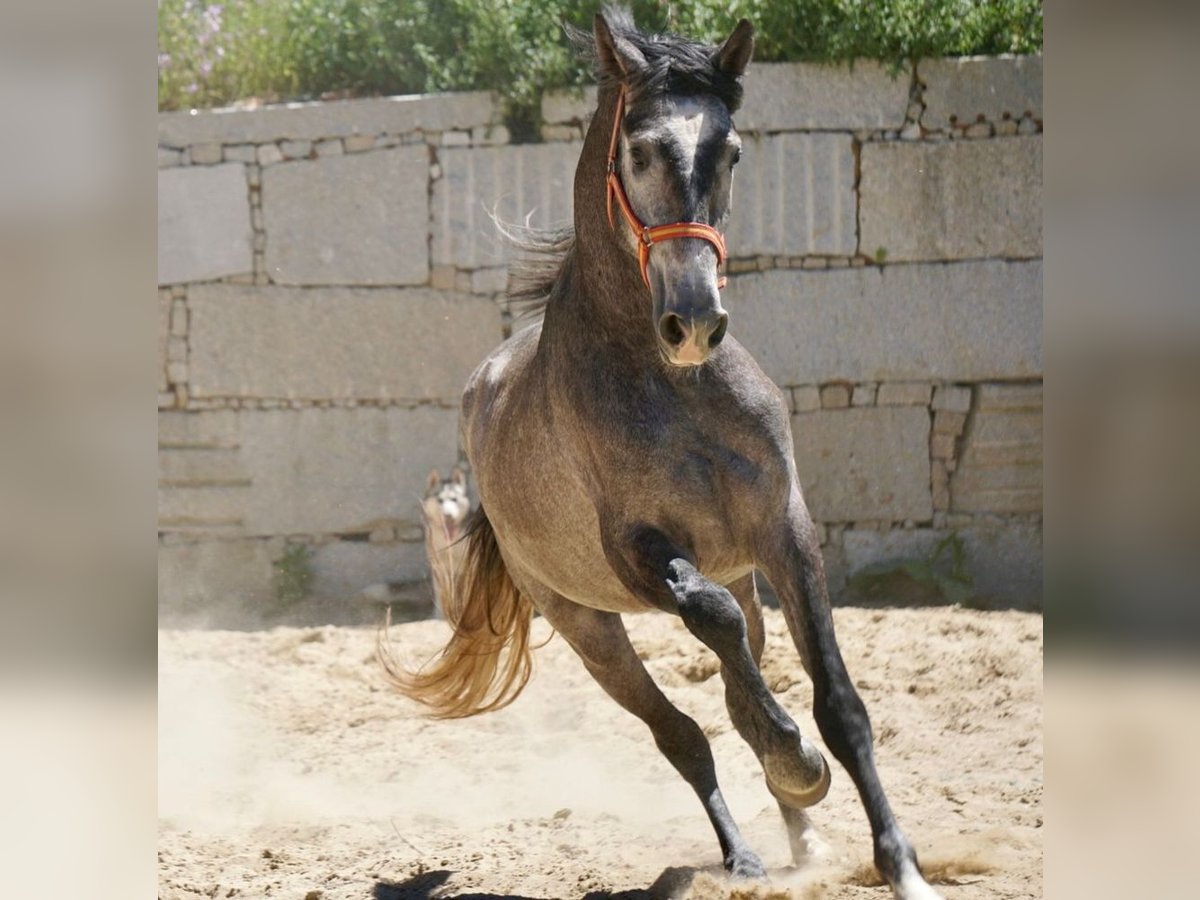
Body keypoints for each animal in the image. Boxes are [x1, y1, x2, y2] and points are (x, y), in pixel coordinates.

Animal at [379, 8, 940, 900]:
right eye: (639, 151)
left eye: (732, 152)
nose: (694, 322)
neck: (671, 387)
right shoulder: (639, 553)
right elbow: (709, 628)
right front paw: (798, 765)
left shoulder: (785, 529)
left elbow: (838, 705)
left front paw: (901, 866)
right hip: (585, 623)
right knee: (680, 731)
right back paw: (744, 853)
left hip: (740, 577)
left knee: (737, 691)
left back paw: (800, 834)